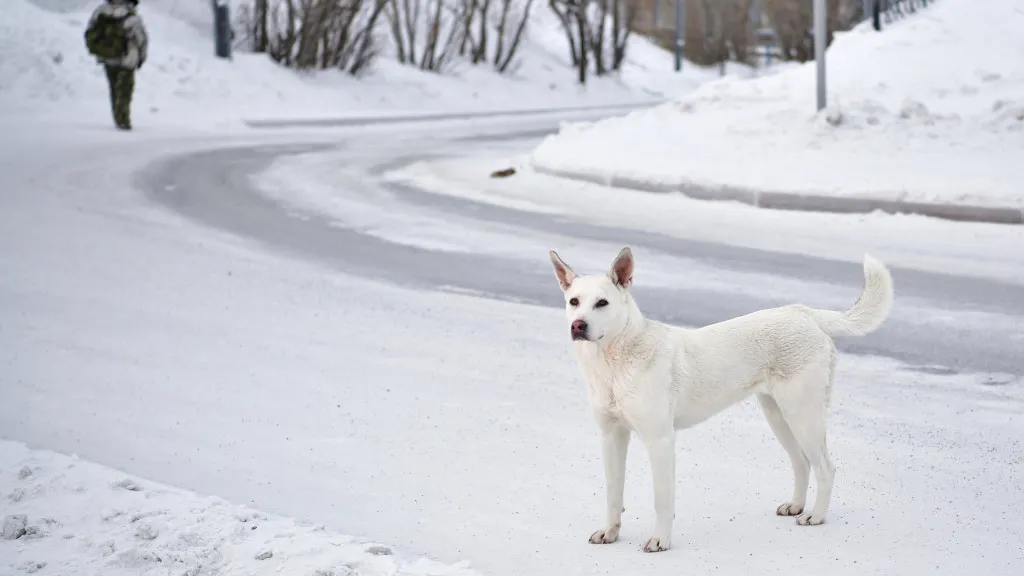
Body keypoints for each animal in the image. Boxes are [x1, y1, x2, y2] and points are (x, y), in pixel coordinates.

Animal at [548, 247, 892, 553]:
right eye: (574, 302)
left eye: (602, 303)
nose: (578, 325)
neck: (614, 363)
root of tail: (803, 313)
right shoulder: (611, 437)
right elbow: (613, 493)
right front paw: (610, 533)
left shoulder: (660, 440)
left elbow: (662, 499)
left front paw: (660, 541)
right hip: (778, 416)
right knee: (801, 462)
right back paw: (796, 506)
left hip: (802, 415)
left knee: (825, 468)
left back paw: (816, 516)